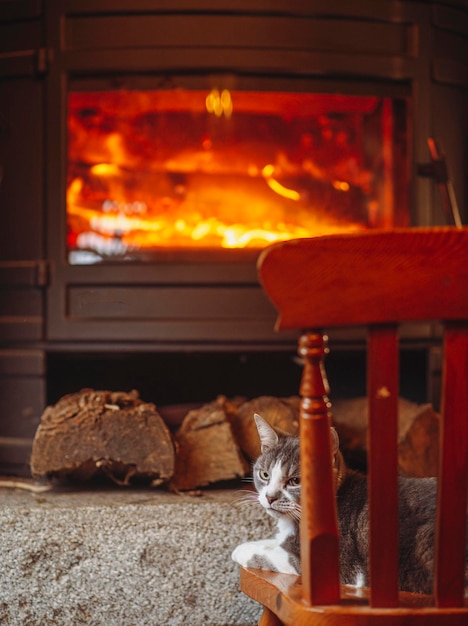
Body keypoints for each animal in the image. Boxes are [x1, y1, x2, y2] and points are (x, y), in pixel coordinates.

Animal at [232, 412, 468, 592]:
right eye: (264, 474)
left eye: (295, 481)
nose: (270, 497)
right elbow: (274, 543)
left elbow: (272, 554)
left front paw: (240, 549)